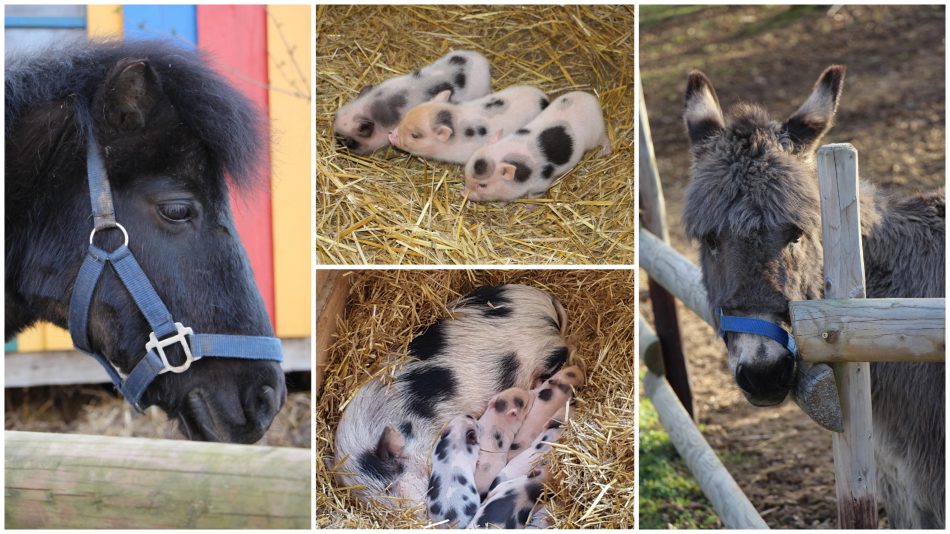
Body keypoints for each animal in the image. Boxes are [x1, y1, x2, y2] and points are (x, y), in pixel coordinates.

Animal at [464, 91, 612, 204]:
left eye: (483, 185)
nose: (463, 193)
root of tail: (592, 99)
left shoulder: (541, 182)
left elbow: (533, 196)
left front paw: (529, 208)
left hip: (596, 134)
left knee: (605, 139)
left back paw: (605, 152)